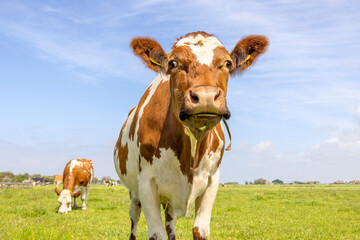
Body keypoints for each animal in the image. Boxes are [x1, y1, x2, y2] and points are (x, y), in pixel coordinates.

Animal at [114, 31, 268, 240]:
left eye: (227, 63)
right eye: (173, 62)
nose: (205, 97)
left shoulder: (211, 182)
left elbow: (199, 230)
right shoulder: (146, 183)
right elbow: (156, 234)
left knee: (170, 222)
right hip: (134, 192)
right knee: (134, 219)